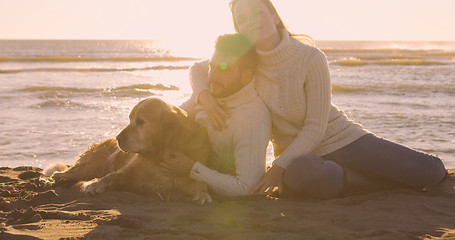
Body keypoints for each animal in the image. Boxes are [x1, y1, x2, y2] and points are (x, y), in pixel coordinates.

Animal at [50, 97, 215, 204]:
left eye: (141, 122)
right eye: (130, 119)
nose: (118, 138)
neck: (160, 152)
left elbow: (199, 184)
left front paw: (202, 194)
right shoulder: (130, 171)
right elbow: (113, 176)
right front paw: (95, 184)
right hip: (90, 165)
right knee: (64, 172)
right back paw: (55, 179)